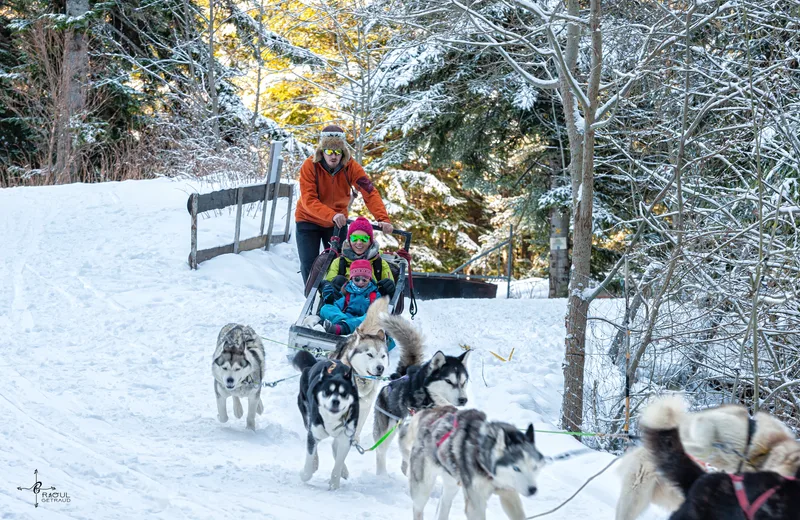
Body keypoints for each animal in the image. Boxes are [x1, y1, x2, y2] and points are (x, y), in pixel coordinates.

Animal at [292, 350, 358, 492]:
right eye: (327, 391)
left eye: (344, 393)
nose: (335, 401)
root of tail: (312, 365)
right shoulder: (314, 432)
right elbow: (309, 458)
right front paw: (305, 473)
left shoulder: (346, 438)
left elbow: (338, 463)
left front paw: (335, 484)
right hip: (308, 418)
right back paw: (315, 464)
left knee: (335, 446)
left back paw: (344, 471)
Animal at [330, 296, 392, 442]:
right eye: (369, 354)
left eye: (383, 356)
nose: (380, 368)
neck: (361, 380)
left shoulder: (364, 406)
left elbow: (357, 426)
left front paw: (353, 440)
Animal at [374, 314, 472, 474]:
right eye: (448, 381)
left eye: (463, 382)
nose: (463, 399)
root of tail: (400, 375)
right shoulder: (405, 434)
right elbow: (407, 452)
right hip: (386, 430)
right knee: (380, 451)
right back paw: (382, 475)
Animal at [400, 406, 544, 520]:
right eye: (516, 468)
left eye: (534, 467)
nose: (533, 490)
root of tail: (429, 413)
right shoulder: (476, 503)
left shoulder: (509, 493)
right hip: (422, 488)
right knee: (418, 507)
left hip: (452, 483)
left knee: (445, 503)